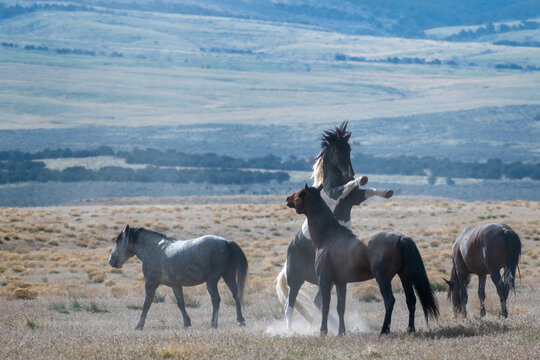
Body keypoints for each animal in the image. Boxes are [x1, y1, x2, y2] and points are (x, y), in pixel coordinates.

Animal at [108, 226, 248, 330]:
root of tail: (226, 242)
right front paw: (187, 323)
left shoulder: (151, 283)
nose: (111, 261)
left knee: (216, 300)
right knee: (236, 295)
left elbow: (146, 304)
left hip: (212, 281)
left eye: (118, 241)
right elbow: (181, 303)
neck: (154, 248)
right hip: (228, 276)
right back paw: (240, 320)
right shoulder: (175, 285)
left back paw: (214, 324)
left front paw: (139, 326)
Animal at [274, 121, 392, 330]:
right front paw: (360, 179)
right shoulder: (336, 194)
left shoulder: (354, 199)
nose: (350, 173)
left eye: (349, 148)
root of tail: (287, 260)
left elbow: (368, 191)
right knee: (290, 306)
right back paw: (289, 330)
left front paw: (386, 191)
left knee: (317, 302)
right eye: (337, 149)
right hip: (296, 280)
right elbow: (347, 187)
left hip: (324, 279)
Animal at [284, 184, 436, 336]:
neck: (328, 238)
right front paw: (341, 332)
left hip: (383, 279)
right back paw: (410, 329)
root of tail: (401, 238)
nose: (287, 198)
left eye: (300, 194)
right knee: (411, 300)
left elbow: (325, 306)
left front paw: (323, 331)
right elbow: (340, 307)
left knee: (389, 301)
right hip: (404, 276)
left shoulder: (324, 280)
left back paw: (384, 330)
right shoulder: (340, 283)